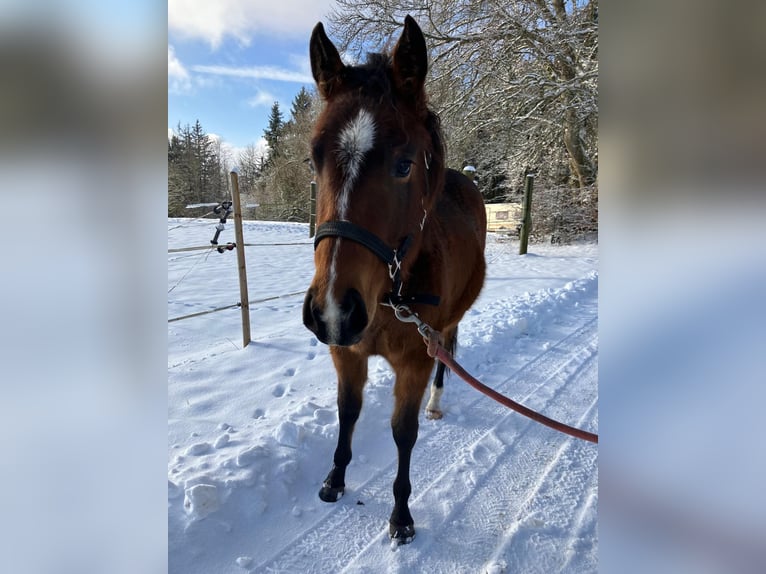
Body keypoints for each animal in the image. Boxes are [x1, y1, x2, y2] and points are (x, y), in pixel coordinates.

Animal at [304, 13, 488, 544]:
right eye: (313, 158)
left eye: (404, 164)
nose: (332, 311)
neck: (390, 297)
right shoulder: (345, 352)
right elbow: (348, 412)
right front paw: (334, 479)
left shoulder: (413, 361)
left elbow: (403, 433)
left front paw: (401, 517)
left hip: (447, 325)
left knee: (449, 349)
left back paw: (437, 402)